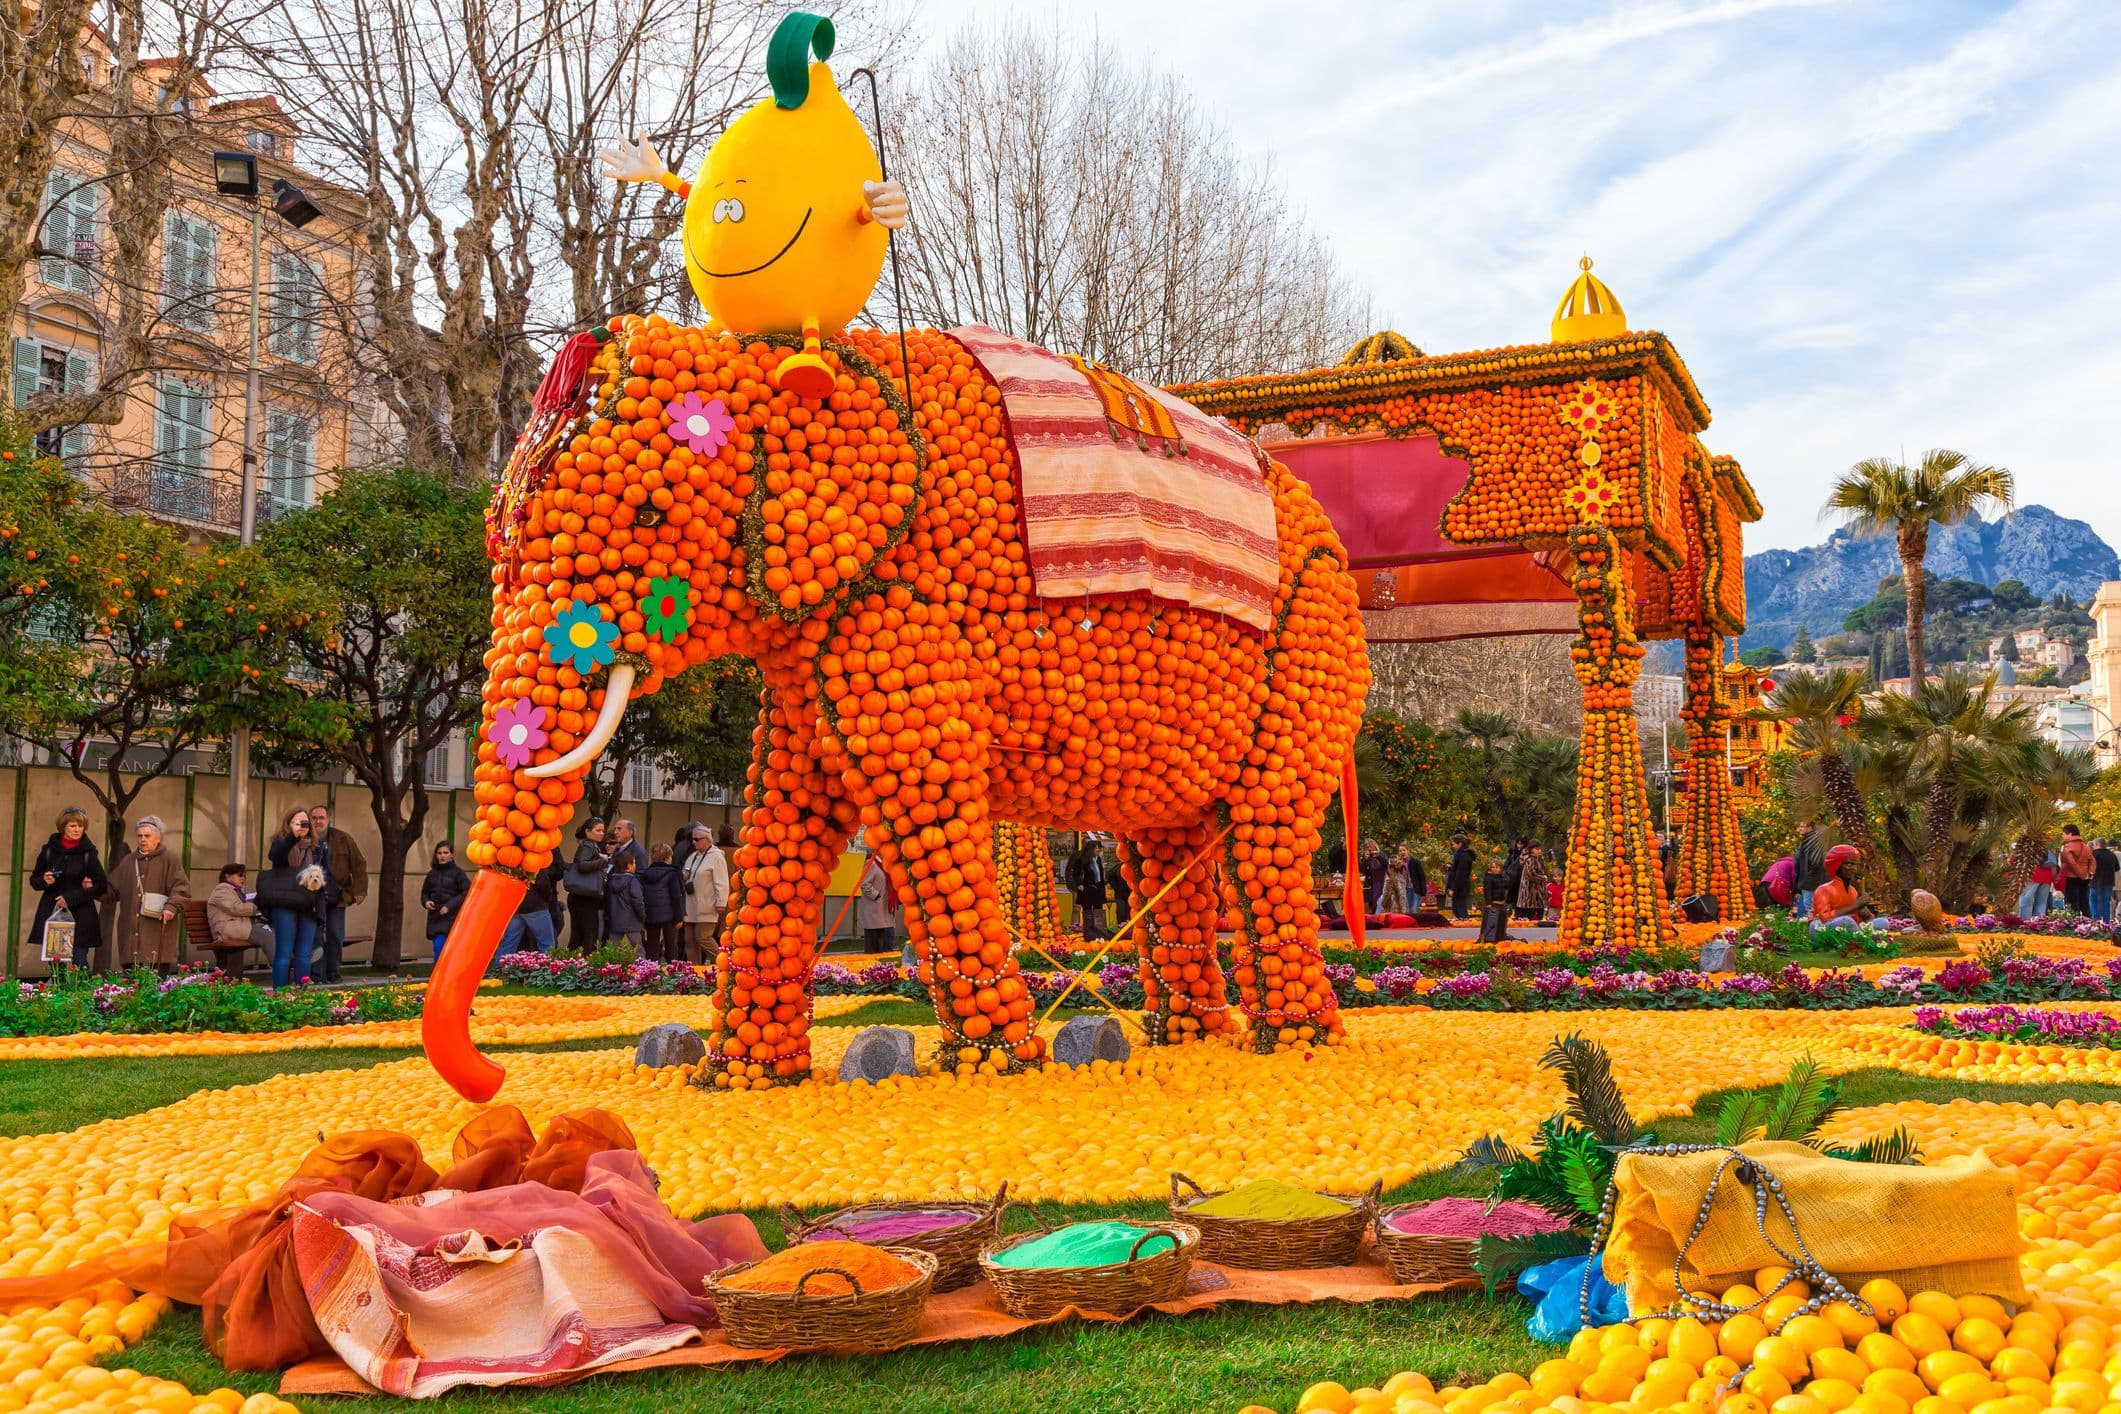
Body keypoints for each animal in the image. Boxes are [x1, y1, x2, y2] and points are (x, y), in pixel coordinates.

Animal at [422, 320, 1365, 1102]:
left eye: (650, 513)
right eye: (493, 539)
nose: (491, 1082)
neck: (783, 357)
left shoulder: (900, 606)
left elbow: (918, 798)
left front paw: (1001, 1064)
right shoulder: (812, 645)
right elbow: (785, 816)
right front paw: (739, 1079)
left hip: (1308, 635)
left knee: (1264, 830)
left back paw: (1296, 1040)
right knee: (1165, 841)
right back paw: (1193, 1036)